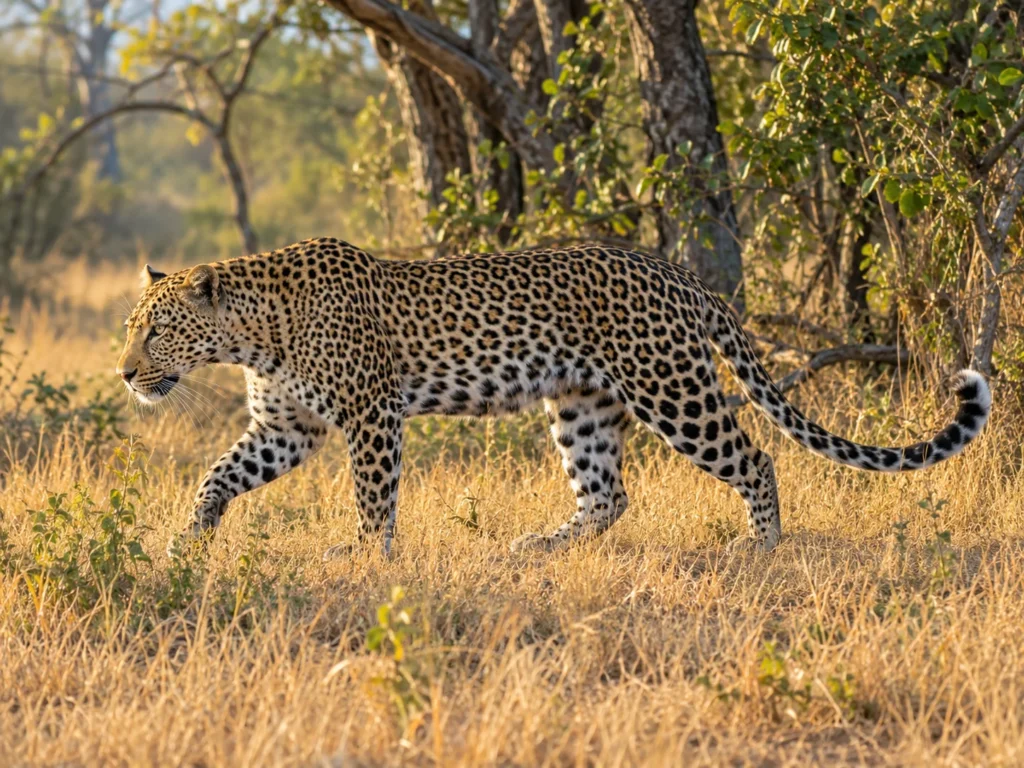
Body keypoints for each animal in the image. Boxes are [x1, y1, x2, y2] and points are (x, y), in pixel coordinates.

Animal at [115, 238, 991, 559]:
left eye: (155, 333)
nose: (124, 374)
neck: (254, 332)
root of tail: (677, 274)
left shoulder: (371, 416)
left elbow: (372, 498)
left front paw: (367, 557)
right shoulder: (284, 426)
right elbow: (218, 476)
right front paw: (189, 540)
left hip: (672, 388)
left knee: (755, 457)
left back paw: (761, 547)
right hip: (581, 405)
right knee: (607, 493)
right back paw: (536, 547)